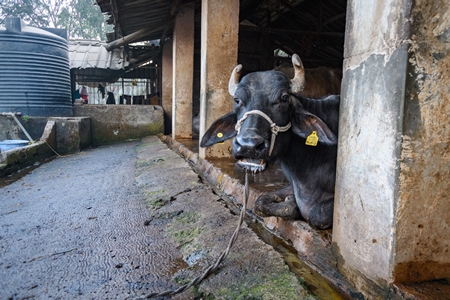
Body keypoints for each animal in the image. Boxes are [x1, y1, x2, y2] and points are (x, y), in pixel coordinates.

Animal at [199, 54, 340, 229]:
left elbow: (317, 214)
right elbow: (260, 202)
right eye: (237, 100)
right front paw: (291, 202)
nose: (248, 146)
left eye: (284, 98)